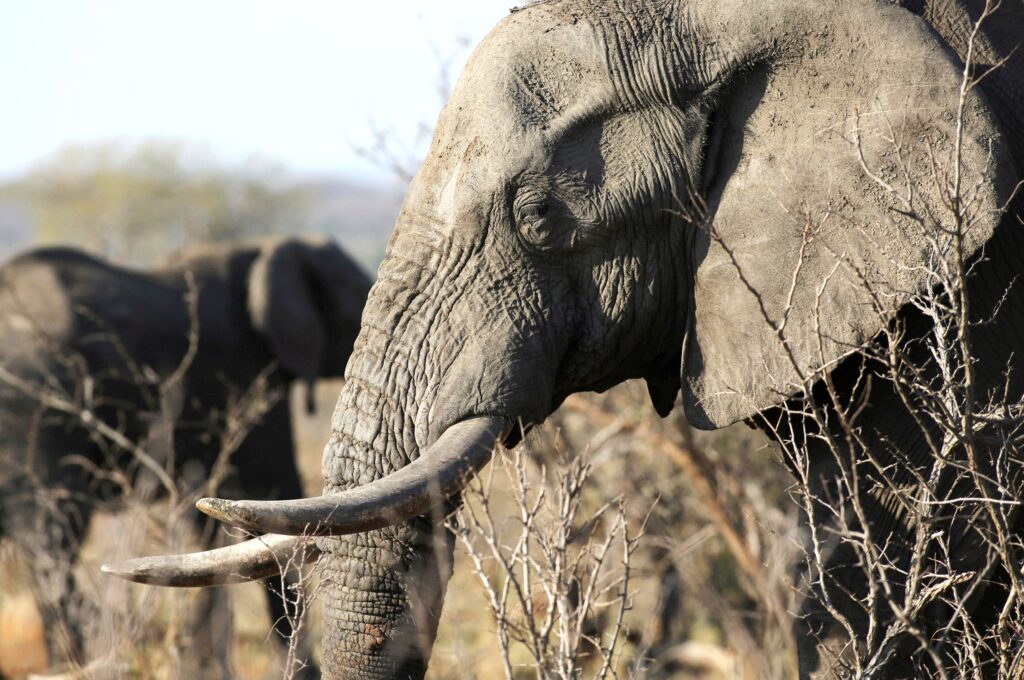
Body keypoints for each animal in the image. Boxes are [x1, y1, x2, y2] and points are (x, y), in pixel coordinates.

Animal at [0, 236, 368, 675]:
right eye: (358, 296)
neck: (261, 250)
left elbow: (209, 521)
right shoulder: (247, 374)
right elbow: (272, 491)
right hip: (33, 407)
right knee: (50, 543)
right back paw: (72, 666)